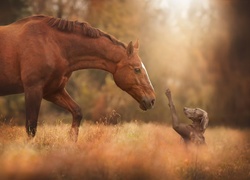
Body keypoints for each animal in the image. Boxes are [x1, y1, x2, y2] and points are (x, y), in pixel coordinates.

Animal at [0, 15, 155, 141]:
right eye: (137, 69)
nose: (152, 99)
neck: (53, 44)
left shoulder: (52, 91)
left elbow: (77, 112)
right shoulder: (33, 89)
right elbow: (31, 127)